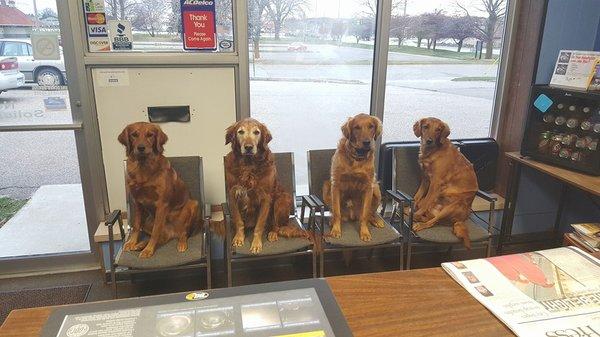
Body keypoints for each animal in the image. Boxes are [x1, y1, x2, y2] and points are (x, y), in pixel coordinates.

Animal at [118, 122, 200, 258]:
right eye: (134, 135)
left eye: (150, 135)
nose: (141, 147)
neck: (143, 167)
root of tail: (173, 233)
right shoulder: (137, 203)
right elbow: (136, 226)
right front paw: (133, 242)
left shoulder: (162, 204)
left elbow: (156, 230)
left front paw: (149, 250)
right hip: (148, 221)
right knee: (161, 237)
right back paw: (141, 244)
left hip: (193, 205)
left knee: (183, 232)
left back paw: (181, 244)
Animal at [412, 117, 478, 247]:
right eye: (425, 127)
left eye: (438, 129)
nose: (429, 141)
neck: (432, 151)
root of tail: (463, 219)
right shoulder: (425, 179)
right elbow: (417, 197)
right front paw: (413, 208)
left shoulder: (436, 183)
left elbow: (426, 201)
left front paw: (416, 213)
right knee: (430, 217)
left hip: (453, 206)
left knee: (432, 222)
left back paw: (419, 223)